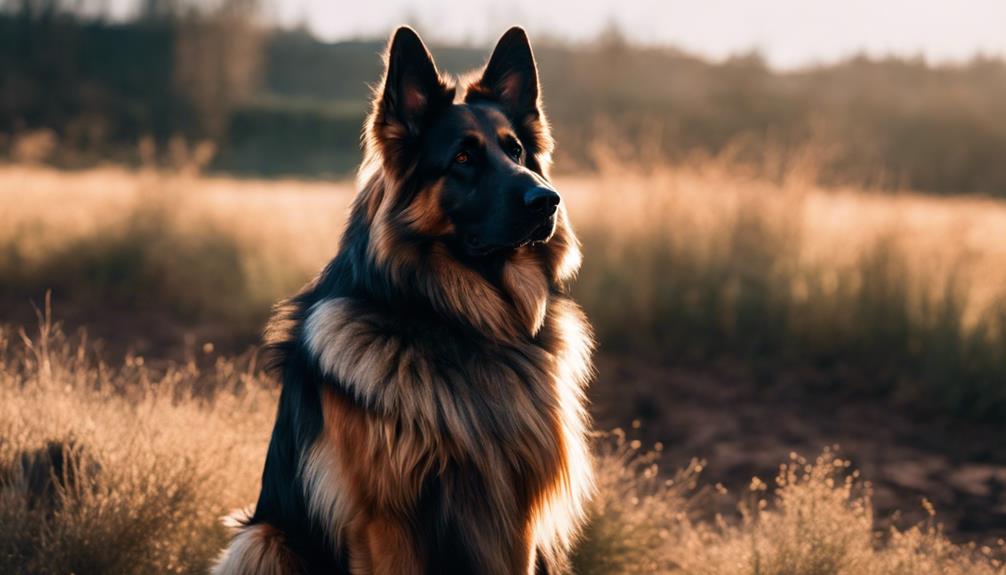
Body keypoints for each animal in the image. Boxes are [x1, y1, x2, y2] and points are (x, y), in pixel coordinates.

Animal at [212, 26, 587, 575]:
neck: (463, 325)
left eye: (516, 151)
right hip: (263, 539)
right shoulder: (383, 523)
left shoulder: (516, 522)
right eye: (463, 158)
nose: (548, 201)